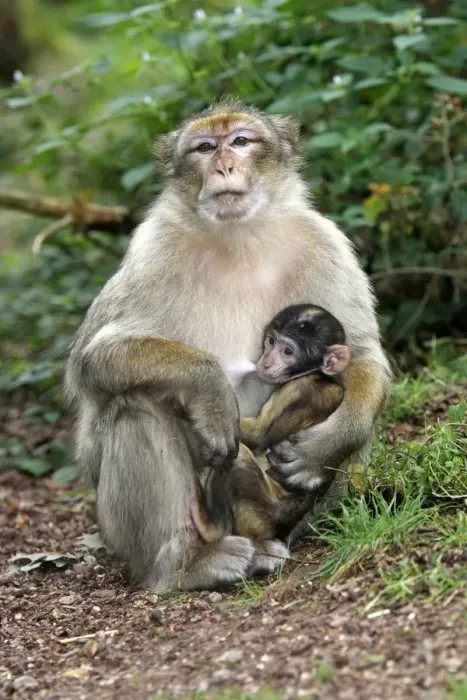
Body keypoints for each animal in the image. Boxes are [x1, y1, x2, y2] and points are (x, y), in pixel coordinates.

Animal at [192, 304, 352, 546]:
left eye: (287, 352)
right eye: (270, 341)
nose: (266, 362)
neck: (321, 376)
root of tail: (279, 527)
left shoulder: (297, 390)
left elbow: (259, 436)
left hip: (256, 515)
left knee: (239, 457)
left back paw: (209, 526)